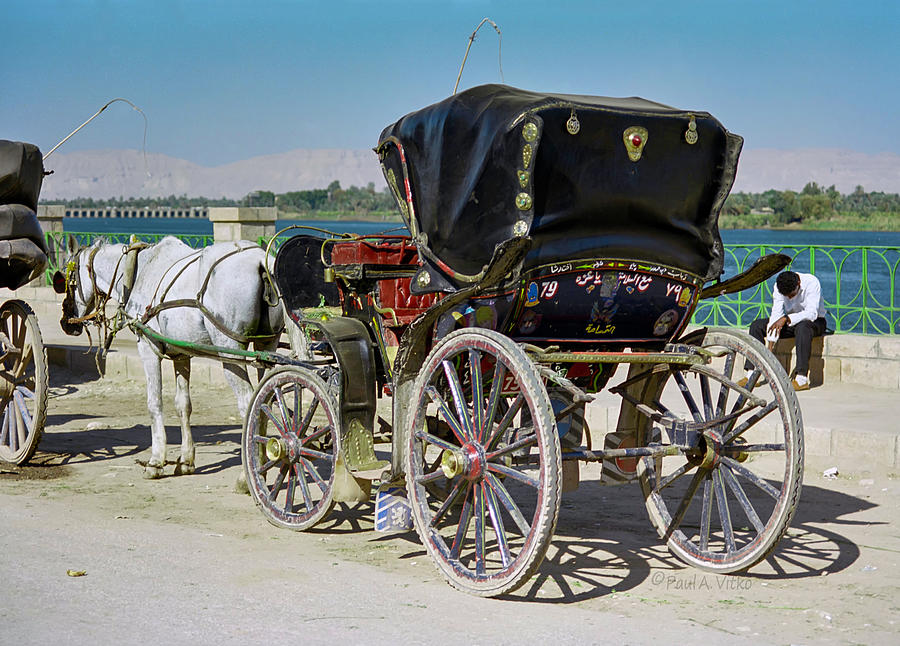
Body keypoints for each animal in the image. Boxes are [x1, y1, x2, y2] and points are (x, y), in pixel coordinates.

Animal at [58, 235, 284, 478]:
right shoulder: (181, 355)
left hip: (229, 350)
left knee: (249, 403)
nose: (66, 322)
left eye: (68, 280)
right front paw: (186, 460)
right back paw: (261, 462)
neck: (138, 272)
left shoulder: (148, 347)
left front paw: (156, 460)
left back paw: (247, 474)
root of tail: (260, 260)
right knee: (266, 399)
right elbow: (183, 405)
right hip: (267, 347)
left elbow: (154, 403)